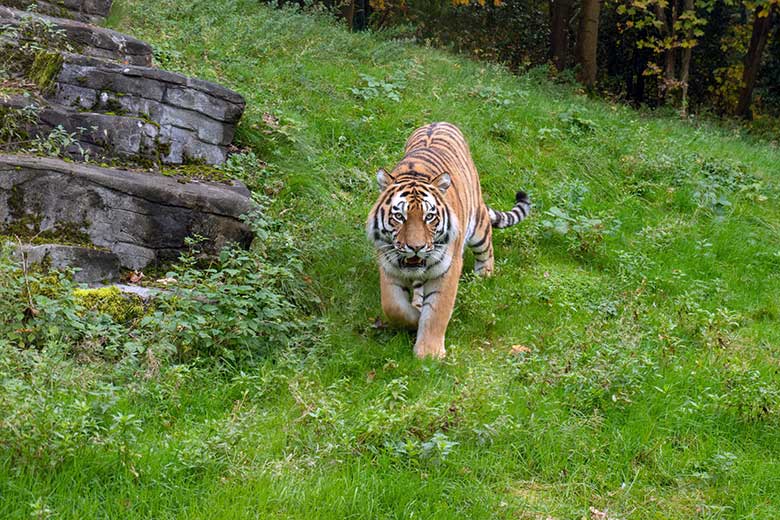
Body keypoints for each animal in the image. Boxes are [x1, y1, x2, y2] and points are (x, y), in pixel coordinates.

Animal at [366, 121, 532, 358]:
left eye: (429, 217)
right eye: (399, 216)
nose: (416, 247)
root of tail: (438, 122)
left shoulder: (448, 267)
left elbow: (437, 312)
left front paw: (429, 354)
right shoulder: (388, 264)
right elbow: (393, 306)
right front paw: (415, 319)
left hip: (478, 225)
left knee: (487, 250)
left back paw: (483, 278)